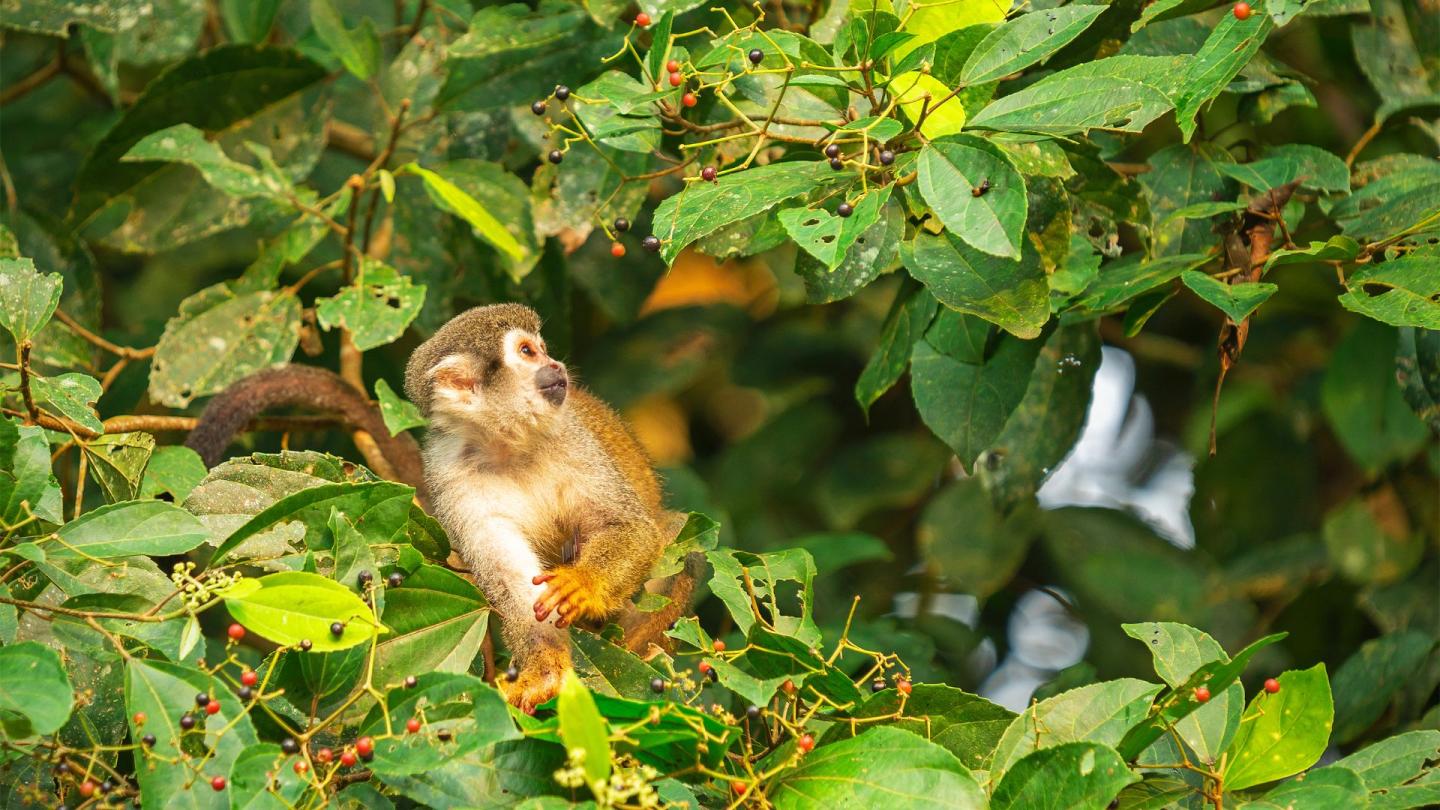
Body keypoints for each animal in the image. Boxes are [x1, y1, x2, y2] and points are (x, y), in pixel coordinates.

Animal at [406, 301, 668, 706]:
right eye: (528, 352)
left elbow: (630, 527)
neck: (506, 445)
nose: (556, 365)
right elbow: (507, 576)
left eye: (542, 349)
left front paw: (582, 583)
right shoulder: (450, 478)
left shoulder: (573, 438)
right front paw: (544, 669)